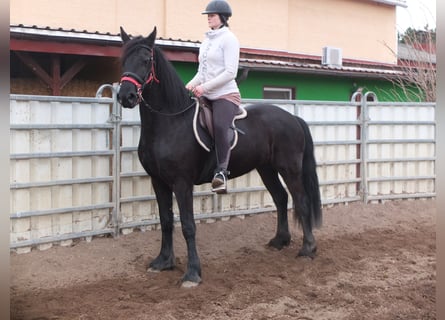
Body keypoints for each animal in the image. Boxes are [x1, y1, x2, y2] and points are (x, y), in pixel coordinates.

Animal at [116, 26, 320, 288]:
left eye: (146, 60)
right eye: (123, 60)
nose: (126, 96)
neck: (171, 121)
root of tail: (292, 117)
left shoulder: (181, 183)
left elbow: (188, 226)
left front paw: (192, 273)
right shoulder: (158, 181)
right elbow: (166, 220)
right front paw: (163, 262)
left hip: (289, 168)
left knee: (301, 200)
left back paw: (308, 249)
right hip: (266, 168)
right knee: (281, 198)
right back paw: (279, 241)